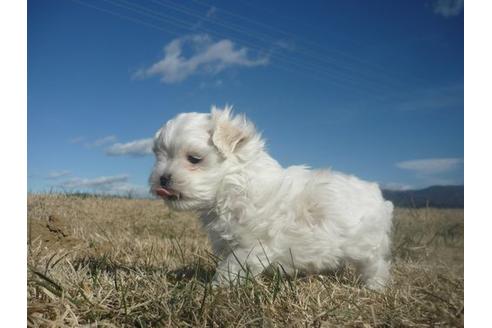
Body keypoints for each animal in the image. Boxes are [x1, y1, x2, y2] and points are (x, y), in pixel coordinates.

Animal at [148, 105, 394, 290]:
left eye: (194, 159)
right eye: (160, 156)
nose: (163, 178)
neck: (233, 184)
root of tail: (379, 196)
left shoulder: (251, 245)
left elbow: (230, 268)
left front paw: (214, 288)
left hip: (366, 246)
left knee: (376, 266)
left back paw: (374, 287)